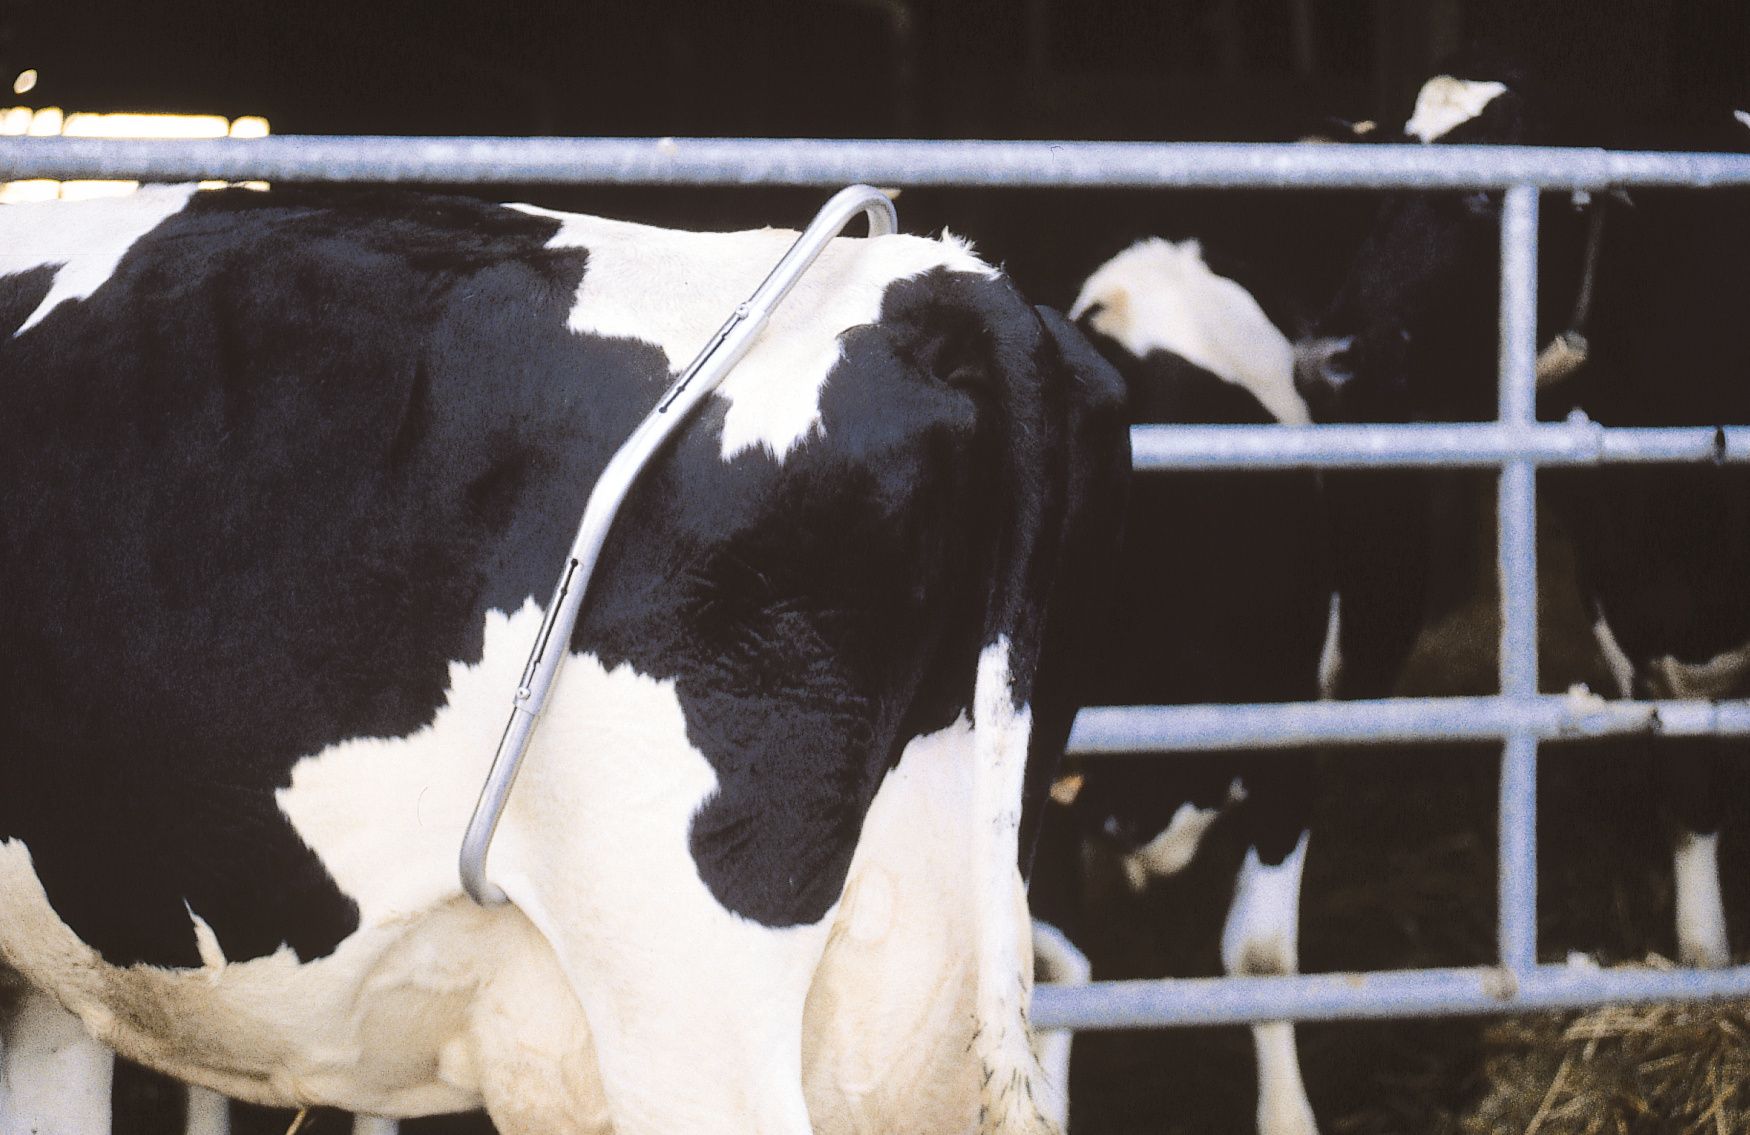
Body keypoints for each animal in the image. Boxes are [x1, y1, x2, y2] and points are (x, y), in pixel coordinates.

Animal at [1295, 49, 1750, 971]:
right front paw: (1703, 957)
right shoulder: (1636, 614)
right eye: (1375, 186)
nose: (1324, 357)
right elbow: (1690, 796)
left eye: (1482, 194)